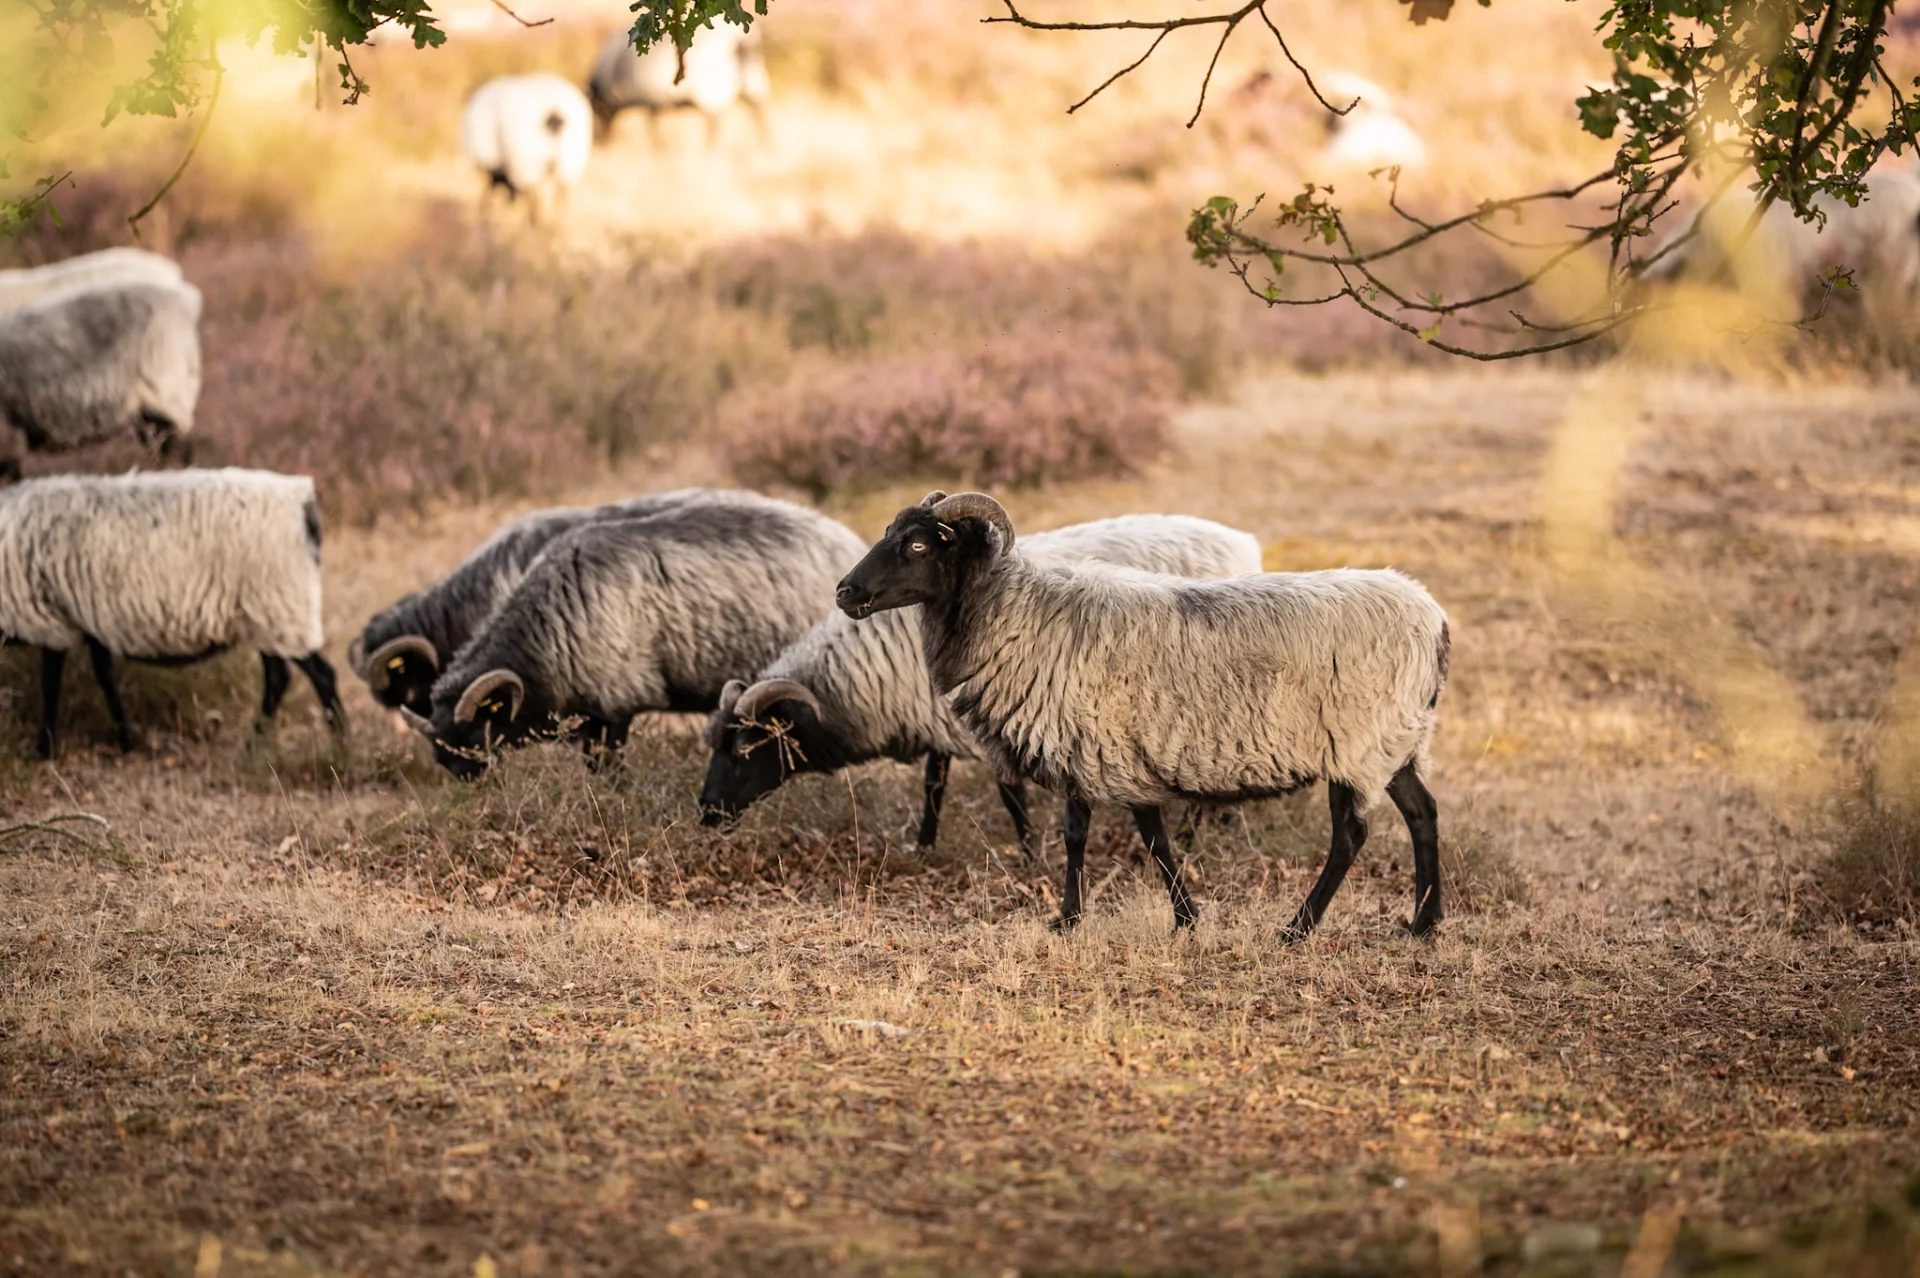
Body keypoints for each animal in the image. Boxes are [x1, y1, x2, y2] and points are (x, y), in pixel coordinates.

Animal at [0, 468, 345, 758]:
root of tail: (301, 500)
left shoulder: (48, 620)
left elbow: (50, 685)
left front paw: (45, 749)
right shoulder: (94, 621)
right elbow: (104, 676)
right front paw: (126, 739)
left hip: (280, 605)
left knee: (320, 675)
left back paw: (340, 744)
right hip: (266, 615)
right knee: (278, 677)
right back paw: (259, 745)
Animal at [459, 74, 594, 222]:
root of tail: (553, 113)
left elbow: (488, 190)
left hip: (529, 162)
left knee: (535, 193)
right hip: (568, 162)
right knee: (560, 192)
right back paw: (555, 221)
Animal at [587, 24, 768, 143]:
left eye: (595, 111)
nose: (598, 141)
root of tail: (740, 40)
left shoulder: (650, 100)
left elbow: (653, 128)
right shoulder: (654, 101)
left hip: (712, 91)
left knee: (714, 123)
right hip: (754, 79)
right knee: (758, 111)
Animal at [699, 514, 1263, 857]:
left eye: (746, 750)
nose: (704, 814)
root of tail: (1243, 543)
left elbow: (1007, 791)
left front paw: (1029, 851)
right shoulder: (940, 719)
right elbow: (934, 783)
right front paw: (925, 845)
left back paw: (1195, 835)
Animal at [835, 492, 1451, 938]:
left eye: (918, 546)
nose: (845, 591)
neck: (1019, 617)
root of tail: (1434, 619)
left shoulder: (1104, 744)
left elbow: (1128, 838)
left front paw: (1153, 918)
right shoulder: (1098, 747)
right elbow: (1101, 834)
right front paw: (1095, 918)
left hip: (1357, 742)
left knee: (1350, 835)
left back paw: (1298, 928)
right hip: (1397, 740)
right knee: (1423, 813)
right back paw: (1423, 923)